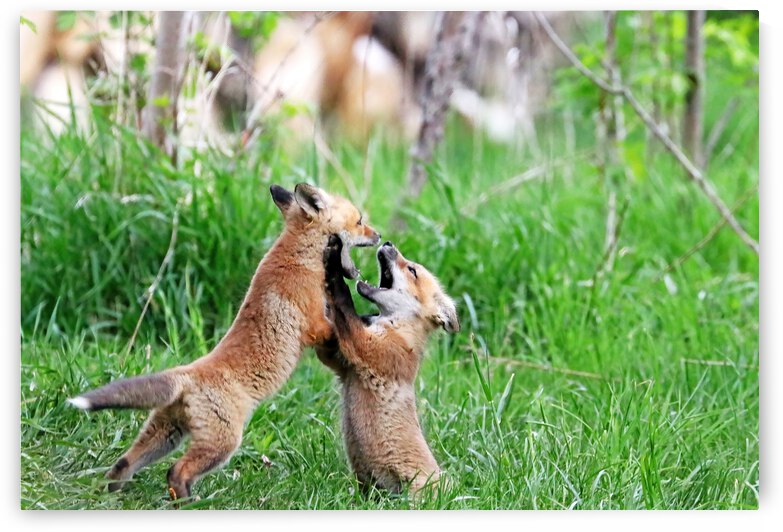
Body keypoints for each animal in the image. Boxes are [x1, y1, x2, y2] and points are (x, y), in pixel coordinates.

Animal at [67, 183, 380, 501]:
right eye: (359, 221)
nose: (379, 236)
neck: (299, 255)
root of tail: (187, 374)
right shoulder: (315, 324)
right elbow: (334, 328)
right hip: (222, 442)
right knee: (176, 471)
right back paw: (190, 503)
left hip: (166, 434)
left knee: (124, 463)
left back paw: (114, 494)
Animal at [320, 235, 460, 497]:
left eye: (412, 270)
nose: (388, 243)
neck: (400, 330)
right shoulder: (342, 364)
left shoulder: (372, 349)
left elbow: (345, 303)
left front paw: (333, 266)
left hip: (415, 492)